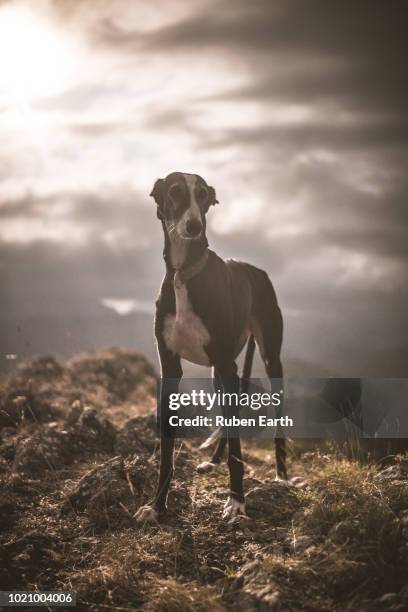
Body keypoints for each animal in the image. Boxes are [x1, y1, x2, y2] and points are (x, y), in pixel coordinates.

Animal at [135, 171, 286, 520]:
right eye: (175, 192)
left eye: (203, 195)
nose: (193, 226)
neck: (183, 275)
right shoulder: (170, 367)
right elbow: (166, 451)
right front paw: (156, 506)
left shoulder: (227, 364)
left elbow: (238, 447)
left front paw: (236, 501)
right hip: (220, 371)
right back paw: (214, 460)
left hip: (268, 359)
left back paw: (283, 476)